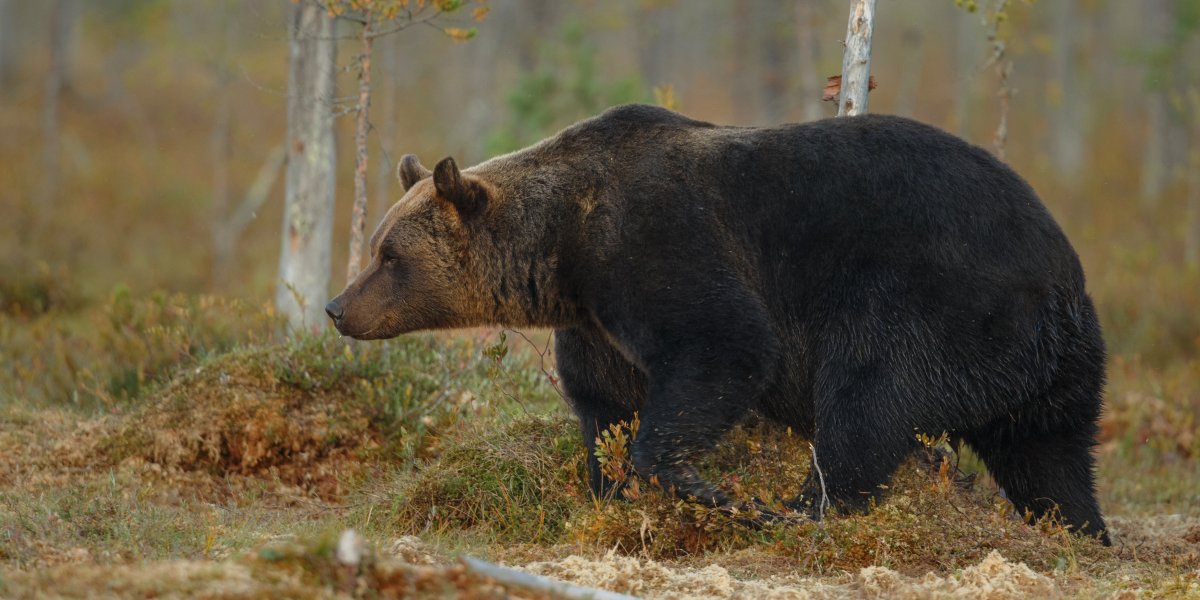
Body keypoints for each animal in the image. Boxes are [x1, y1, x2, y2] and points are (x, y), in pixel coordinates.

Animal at [326, 104, 1110, 544]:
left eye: (389, 255)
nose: (337, 307)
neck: (563, 250)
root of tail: (1061, 279)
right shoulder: (595, 323)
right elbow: (604, 408)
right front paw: (611, 492)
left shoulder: (659, 244)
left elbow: (724, 347)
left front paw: (708, 490)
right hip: (1050, 366)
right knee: (1051, 456)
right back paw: (1080, 533)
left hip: (931, 300)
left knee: (867, 402)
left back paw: (800, 510)